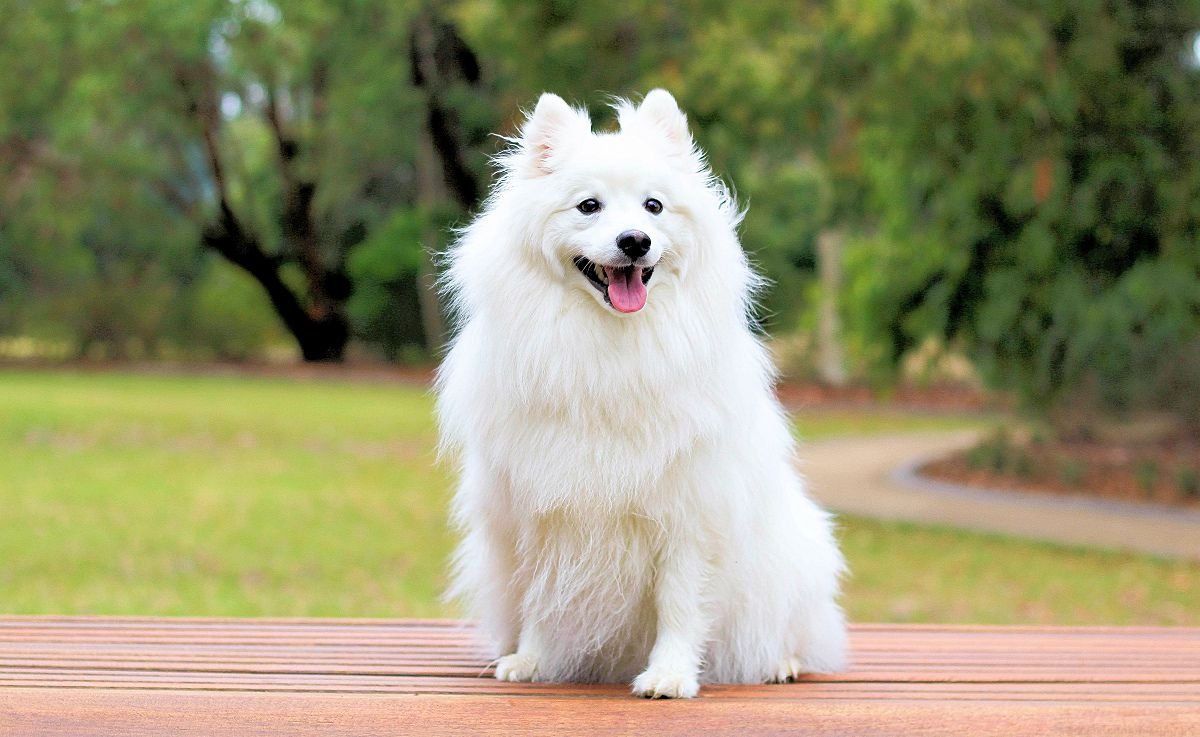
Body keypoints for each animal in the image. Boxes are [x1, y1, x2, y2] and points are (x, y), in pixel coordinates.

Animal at [436, 91, 849, 700]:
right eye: (588, 206)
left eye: (654, 207)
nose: (635, 241)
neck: (612, 346)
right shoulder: (537, 512)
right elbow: (542, 595)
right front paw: (532, 659)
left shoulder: (688, 513)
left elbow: (679, 604)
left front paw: (670, 675)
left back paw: (782, 661)